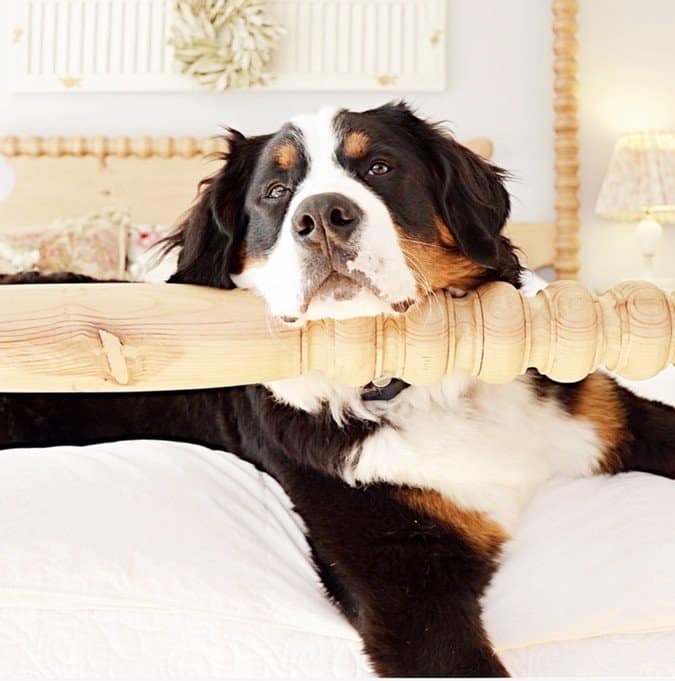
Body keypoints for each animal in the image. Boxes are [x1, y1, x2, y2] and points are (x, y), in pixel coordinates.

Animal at [1, 102, 675, 676]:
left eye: (379, 167)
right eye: (275, 193)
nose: (323, 215)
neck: (420, 386)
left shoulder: (605, 416)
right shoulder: (402, 571)